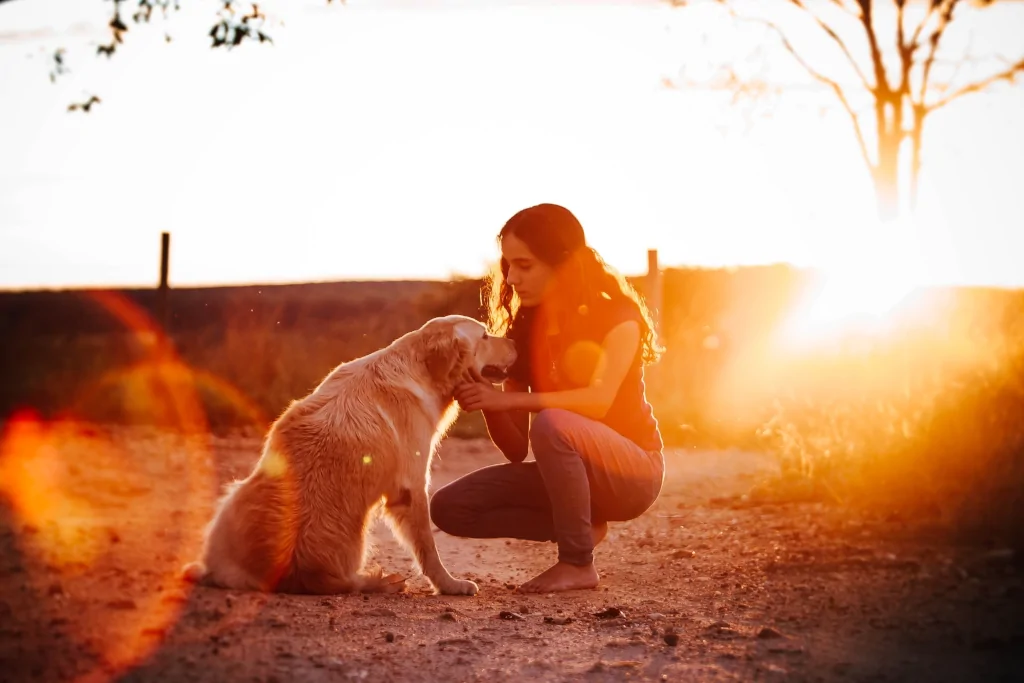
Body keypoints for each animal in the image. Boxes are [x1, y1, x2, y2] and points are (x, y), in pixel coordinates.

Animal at [181, 313, 516, 593]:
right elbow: (428, 547)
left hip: (234, 496)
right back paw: (382, 582)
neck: (419, 367)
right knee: (350, 582)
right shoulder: (411, 486)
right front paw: (450, 585)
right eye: (485, 335)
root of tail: (293, 573)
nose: (515, 342)